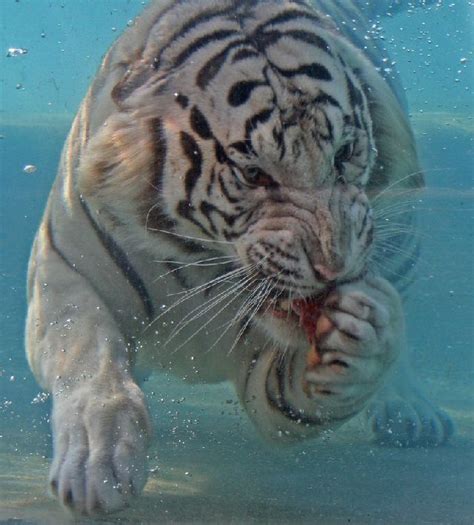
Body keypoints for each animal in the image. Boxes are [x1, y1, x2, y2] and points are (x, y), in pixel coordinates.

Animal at [25, 0, 452, 516]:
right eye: (254, 174)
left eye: (344, 153)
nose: (334, 268)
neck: (199, 262)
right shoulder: (63, 270)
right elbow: (88, 354)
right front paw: (98, 464)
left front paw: (363, 337)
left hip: (404, 236)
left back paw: (410, 410)